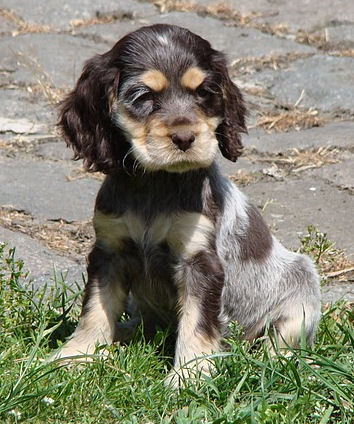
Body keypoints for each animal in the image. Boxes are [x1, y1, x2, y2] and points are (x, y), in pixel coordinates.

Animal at [56, 24, 322, 386]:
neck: (157, 184)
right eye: (143, 97)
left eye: (205, 93)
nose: (185, 138)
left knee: (281, 341)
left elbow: (196, 323)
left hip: (302, 284)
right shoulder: (109, 252)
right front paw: (77, 356)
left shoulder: (200, 261)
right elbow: (95, 308)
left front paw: (188, 375)